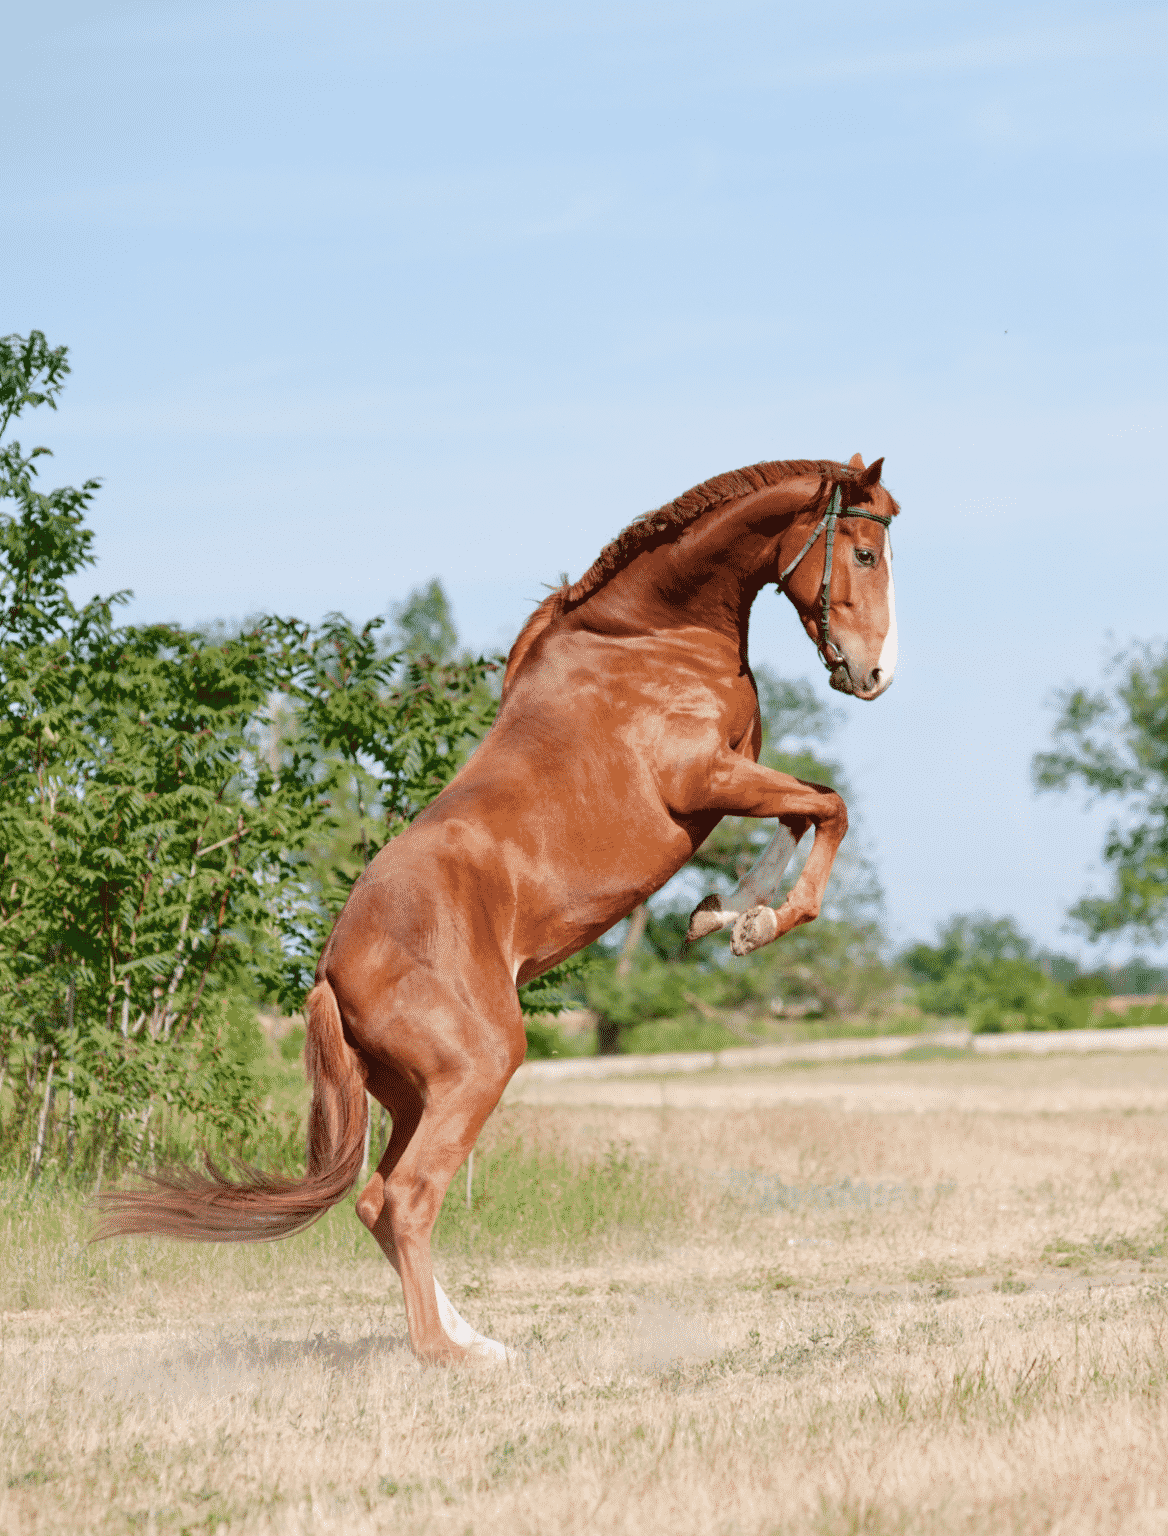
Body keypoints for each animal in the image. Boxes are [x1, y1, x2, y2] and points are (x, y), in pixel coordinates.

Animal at [97, 452, 900, 1364]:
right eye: (864, 552)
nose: (874, 673)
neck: (649, 637)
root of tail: (331, 975)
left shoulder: (737, 776)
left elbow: (807, 808)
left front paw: (725, 914)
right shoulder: (706, 778)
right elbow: (829, 807)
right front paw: (757, 922)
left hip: (416, 1094)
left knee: (377, 1200)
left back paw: (477, 1340)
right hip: (477, 1068)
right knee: (407, 1196)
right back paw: (446, 1355)